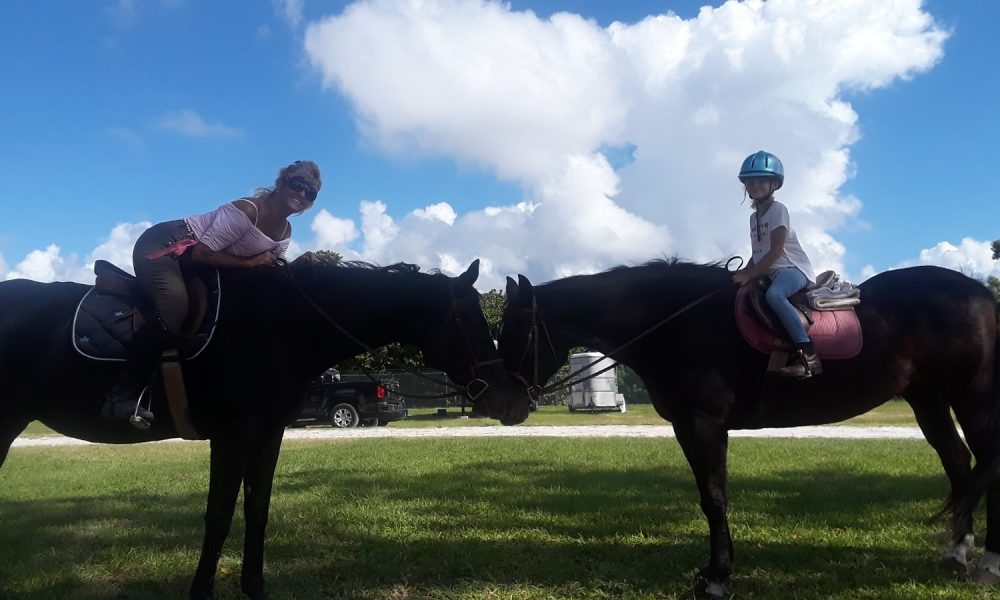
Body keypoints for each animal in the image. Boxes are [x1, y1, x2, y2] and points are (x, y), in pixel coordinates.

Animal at [0, 262, 532, 600]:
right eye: (471, 323)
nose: (513, 402)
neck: (281, 327)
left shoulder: (268, 433)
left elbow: (257, 511)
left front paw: (253, 587)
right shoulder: (232, 434)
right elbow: (218, 516)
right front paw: (201, 591)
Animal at [500, 262, 1000, 600]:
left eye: (514, 330)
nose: (505, 406)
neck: (674, 323)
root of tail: (982, 295)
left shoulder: (702, 424)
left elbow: (714, 498)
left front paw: (716, 577)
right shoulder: (693, 426)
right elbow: (712, 497)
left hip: (973, 397)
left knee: (986, 468)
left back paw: (988, 562)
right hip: (929, 400)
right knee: (960, 467)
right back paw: (957, 554)